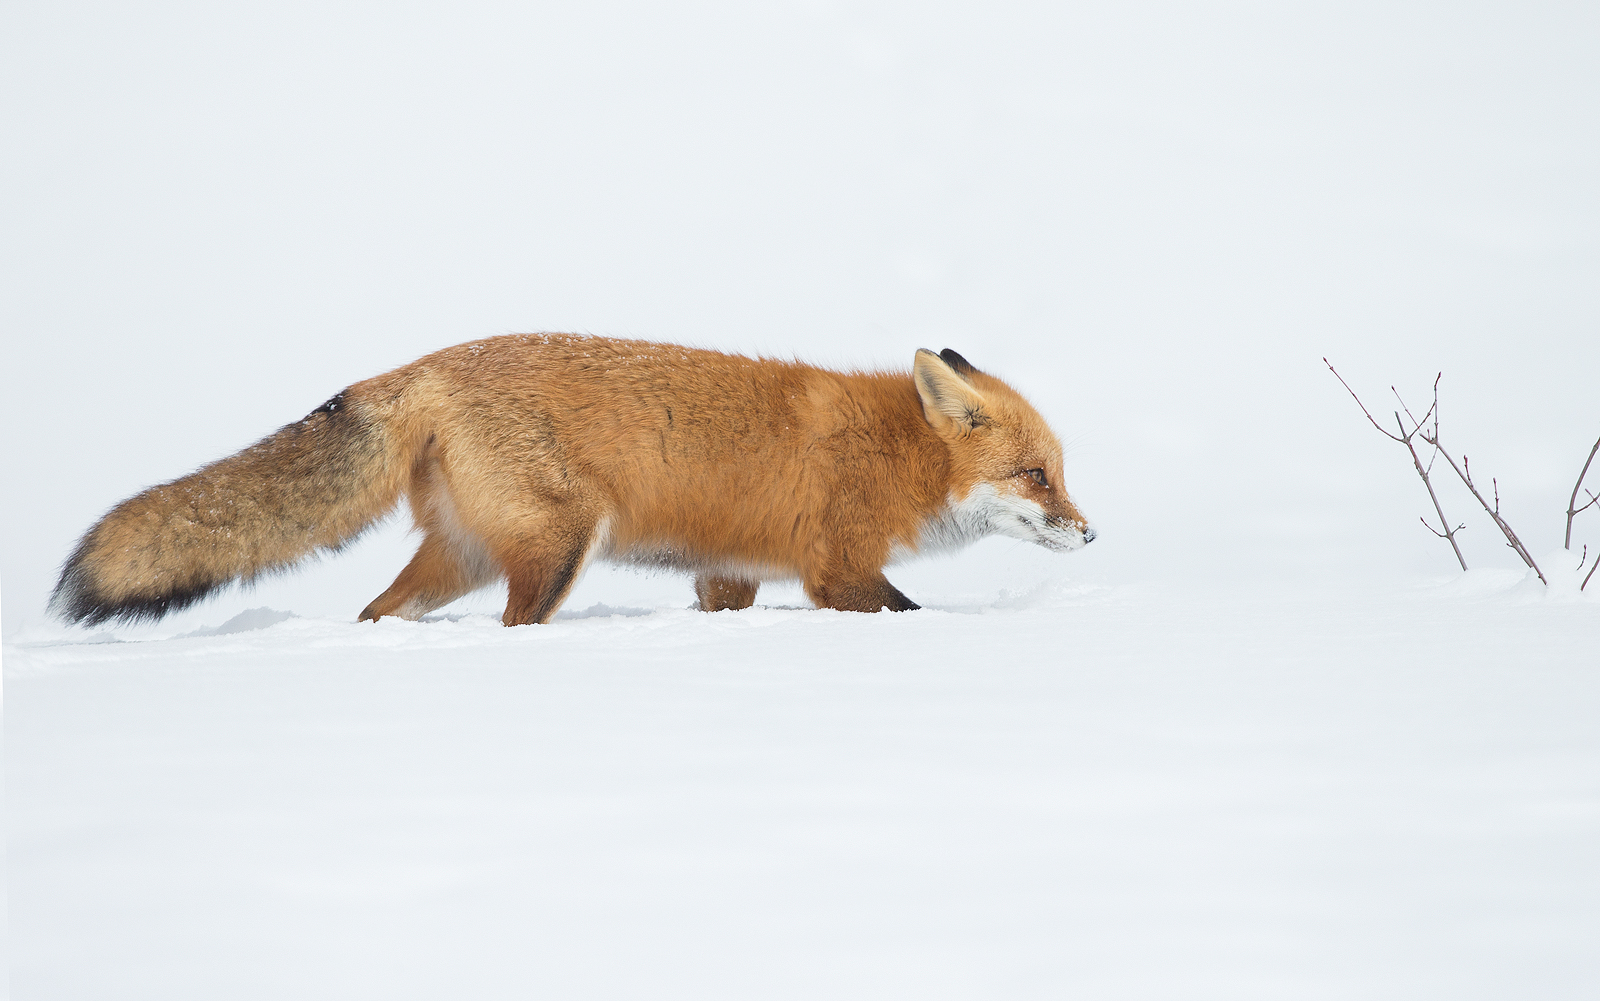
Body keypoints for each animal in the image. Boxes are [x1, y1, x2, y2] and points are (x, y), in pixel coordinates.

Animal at [50, 334, 1095, 627]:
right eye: (1036, 475)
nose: (1091, 535)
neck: (894, 451)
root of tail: (425, 365)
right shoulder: (835, 569)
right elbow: (905, 610)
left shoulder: (731, 573)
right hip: (557, 547)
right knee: (514, 628)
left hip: (462, 559)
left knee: (378, 613)